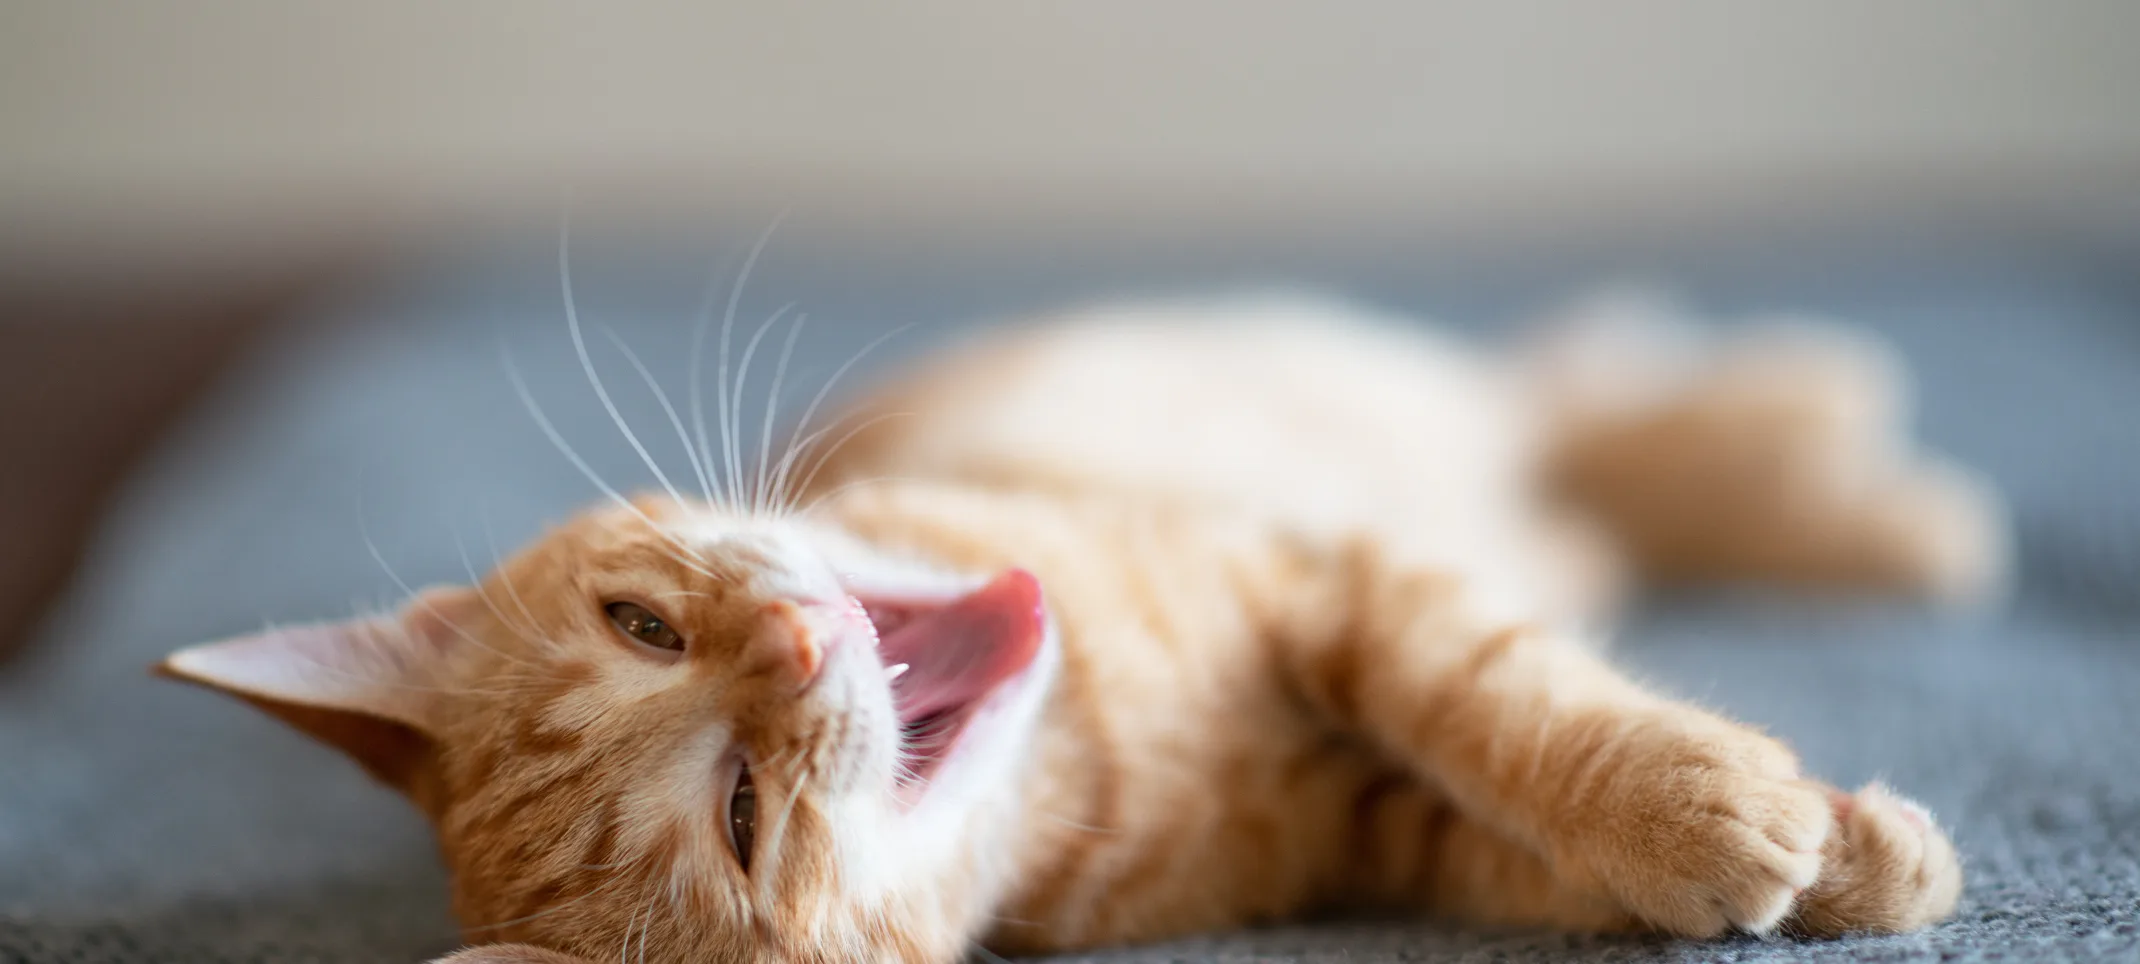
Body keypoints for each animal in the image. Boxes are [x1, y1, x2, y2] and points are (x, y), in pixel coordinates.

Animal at [158, 293, 1994, 964]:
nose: (793, 652)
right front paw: (1823, 852)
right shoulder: (1379, 834)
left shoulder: (1336, 580)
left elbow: (1503, 697)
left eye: (644, 625)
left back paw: (1829, 437)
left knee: (1582, 394)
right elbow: (1532, 855)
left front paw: (1711, 802)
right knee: (1599, 469)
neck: (1096, 753)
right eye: (741, 814)